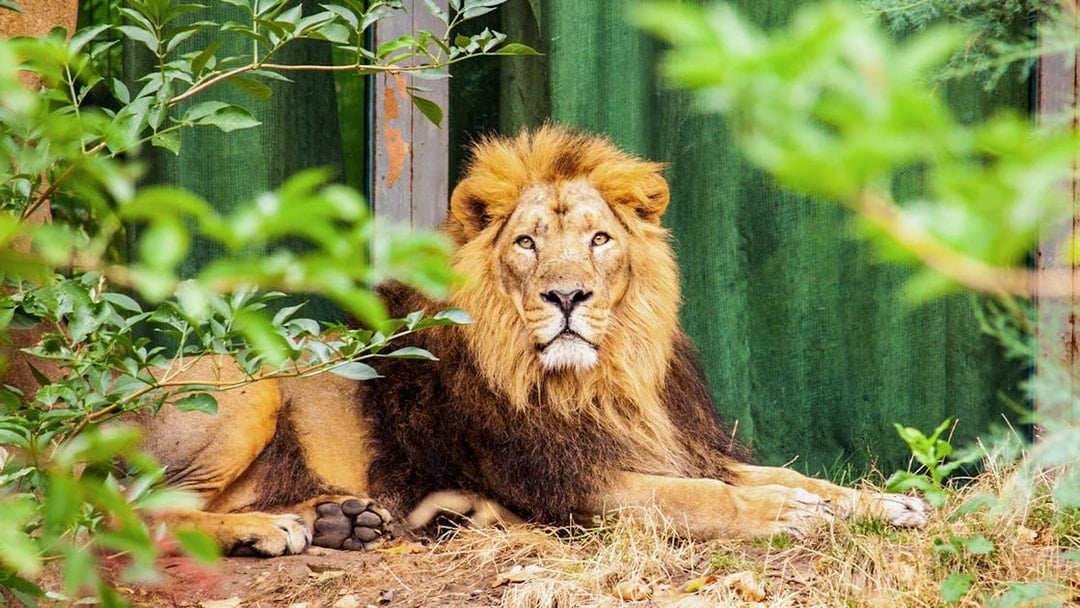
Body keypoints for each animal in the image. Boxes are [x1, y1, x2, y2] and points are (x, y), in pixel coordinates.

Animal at [126, 125, 929, 555]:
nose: (567, 296)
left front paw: (886, 504)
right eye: (527, 243)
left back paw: (337, 520)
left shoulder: (676, 444)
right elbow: (698, 499)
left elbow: (787, 476)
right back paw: (266, 529)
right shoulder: (569, 483)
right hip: (240, 381)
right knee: (132, 514)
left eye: (600, 240)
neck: (601, 381)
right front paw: (785, 516)